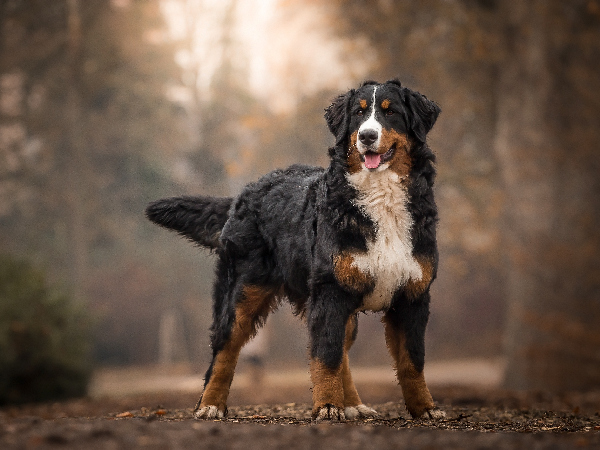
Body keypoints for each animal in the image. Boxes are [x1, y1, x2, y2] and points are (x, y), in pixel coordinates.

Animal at [146, 79, 446, 420]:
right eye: (358, 114)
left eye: (391, 111)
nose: (366, 136)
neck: (381, 198)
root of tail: (245, 193)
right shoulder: (330, 292)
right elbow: (325, 357)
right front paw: (327, 406)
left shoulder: (412, 294)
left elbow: (412, 361)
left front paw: (425, 409)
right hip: (242, 292)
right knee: (225, 350)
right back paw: (210, 404)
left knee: (341, 352)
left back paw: (353, 404)